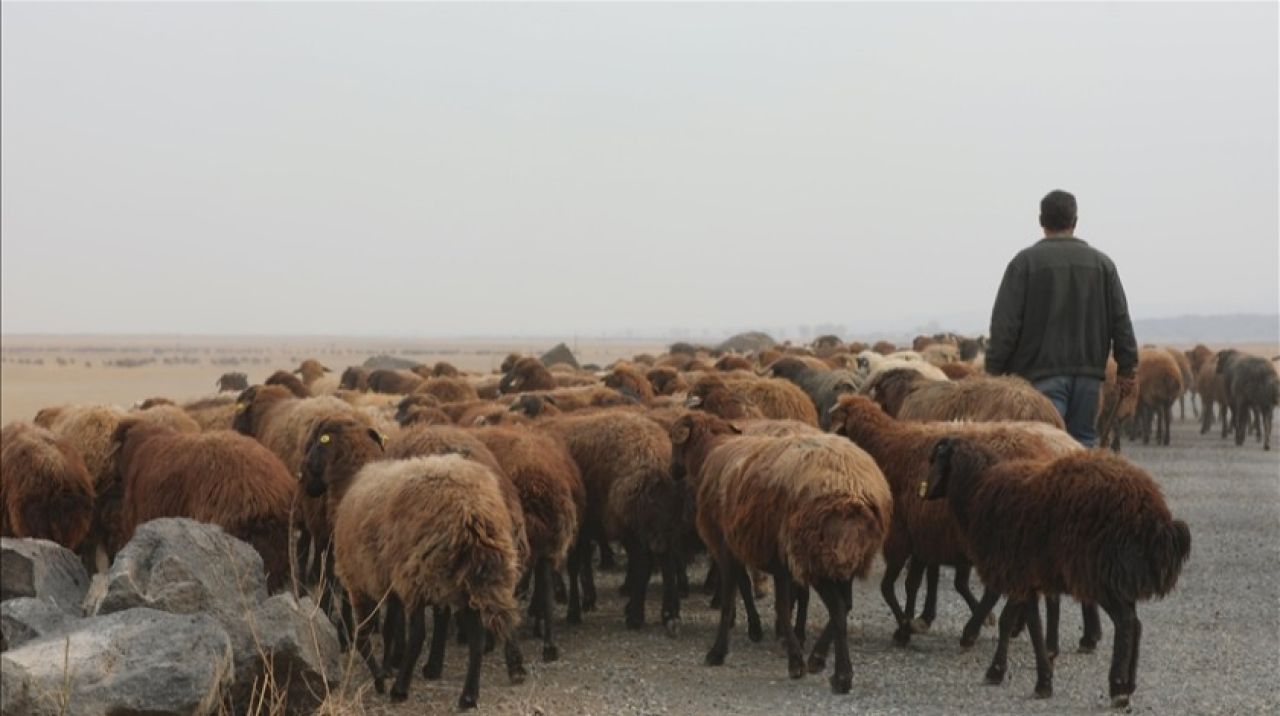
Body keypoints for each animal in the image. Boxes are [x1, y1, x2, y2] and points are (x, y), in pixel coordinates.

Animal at [537, 409, 686, 632]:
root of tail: (659, 461)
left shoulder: (579, 527)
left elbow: (574, 566)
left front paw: (574, 610)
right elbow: (583, 562)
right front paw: (587, 599)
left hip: (633, 521)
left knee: (644, 563)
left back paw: (635, 616)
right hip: (661, 523)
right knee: (666, 560)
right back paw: (669, 613)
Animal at [824, 394, 1085, 648]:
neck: (888, 448)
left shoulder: (902, 537)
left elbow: (892, 587)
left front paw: (906, 628)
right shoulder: (925, 536)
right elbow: (917, 582)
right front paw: (916, 621)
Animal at [921, 438, 1187, 707]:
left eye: (935, 459)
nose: (923, 493)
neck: (978, 489)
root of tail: (1152, 511)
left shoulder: (1016, 571)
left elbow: (1025, 625)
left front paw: (1032, 679)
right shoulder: (1025, 576)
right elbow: (1016, 622)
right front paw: (1013, 672)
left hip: (1098, 572)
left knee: (1125, 622)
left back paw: (1118, 688)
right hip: (1116, 575)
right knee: (1137, 623)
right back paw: (1130, 684)